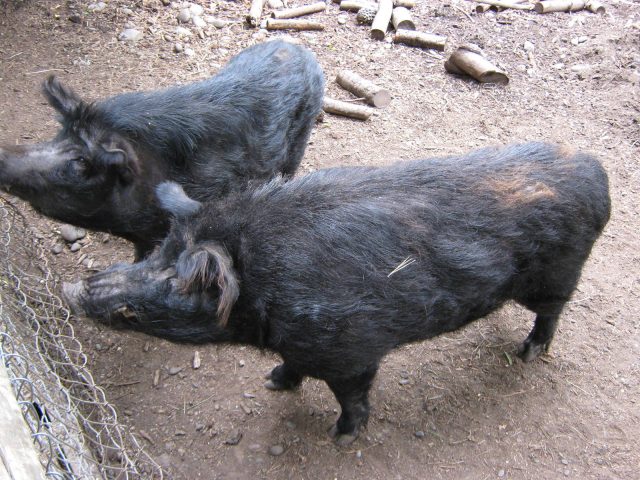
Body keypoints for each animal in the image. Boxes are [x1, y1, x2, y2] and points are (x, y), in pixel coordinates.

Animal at [63, 142, 608, 446]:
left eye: (170, 282)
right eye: (156, 253)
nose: (75, 287)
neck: (264, 284)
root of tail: (597, 172)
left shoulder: (350, 351)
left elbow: (352, 397)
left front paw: (340, 439)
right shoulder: (300, 343)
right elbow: (292, 368)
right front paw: (272, 383)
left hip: (557, 274)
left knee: (554, 313)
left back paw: (530, 352)